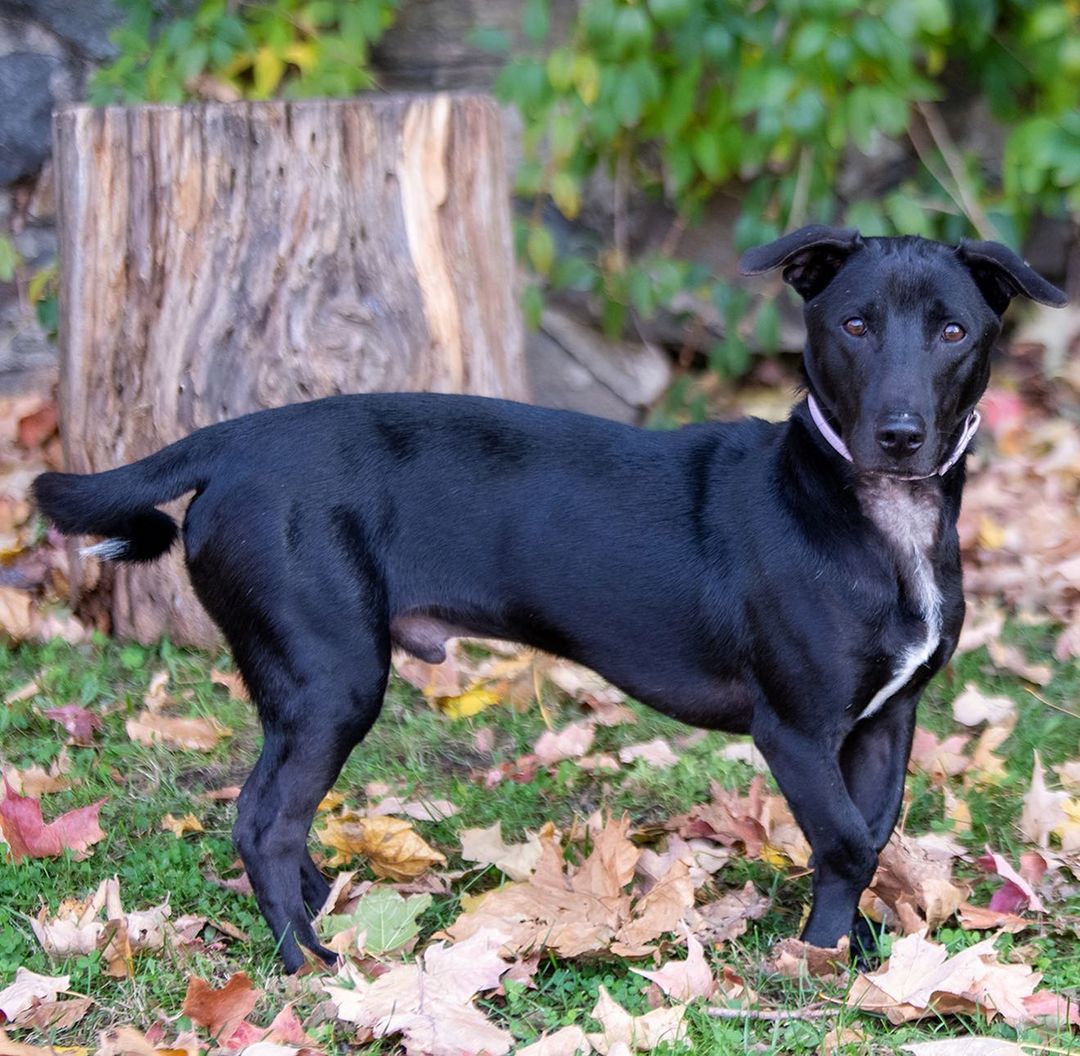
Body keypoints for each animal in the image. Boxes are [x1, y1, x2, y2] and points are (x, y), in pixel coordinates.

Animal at [31, 226, 1062, 967]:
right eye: (853, 326)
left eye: (954, 331)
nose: (901, 433)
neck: (874, 515)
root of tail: (233, 439)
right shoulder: (797, 730)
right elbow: (846, 839)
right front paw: (818, 960)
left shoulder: (889, 718)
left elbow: (872, 833)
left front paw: (861, 949)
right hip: (332, 678)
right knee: (262, 824)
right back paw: (305, 959)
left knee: (276, 820)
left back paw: (322, 912)